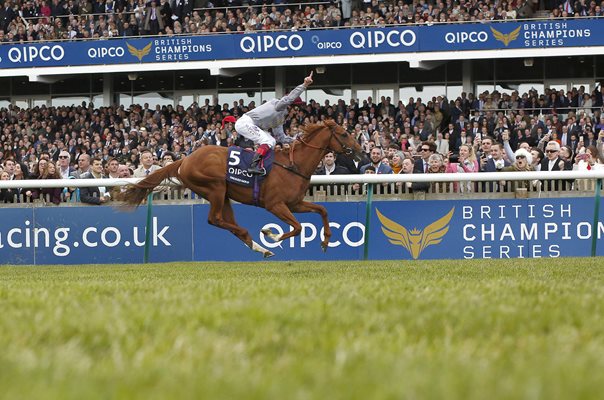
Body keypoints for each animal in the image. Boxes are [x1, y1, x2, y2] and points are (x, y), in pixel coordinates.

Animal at [120, 119, 360, 258]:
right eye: (344, 134)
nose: (359, 151)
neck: (294, 165)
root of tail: (185, 159)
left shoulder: (295, 203)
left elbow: (322, 210)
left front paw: (325, 241)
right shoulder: (275, 205)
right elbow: (299, 227)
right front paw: (271, 234)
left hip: (224, 194)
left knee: (227, 222)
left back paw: (259, 247)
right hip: (215, 188)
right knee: (215, 219)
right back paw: (258, 241)